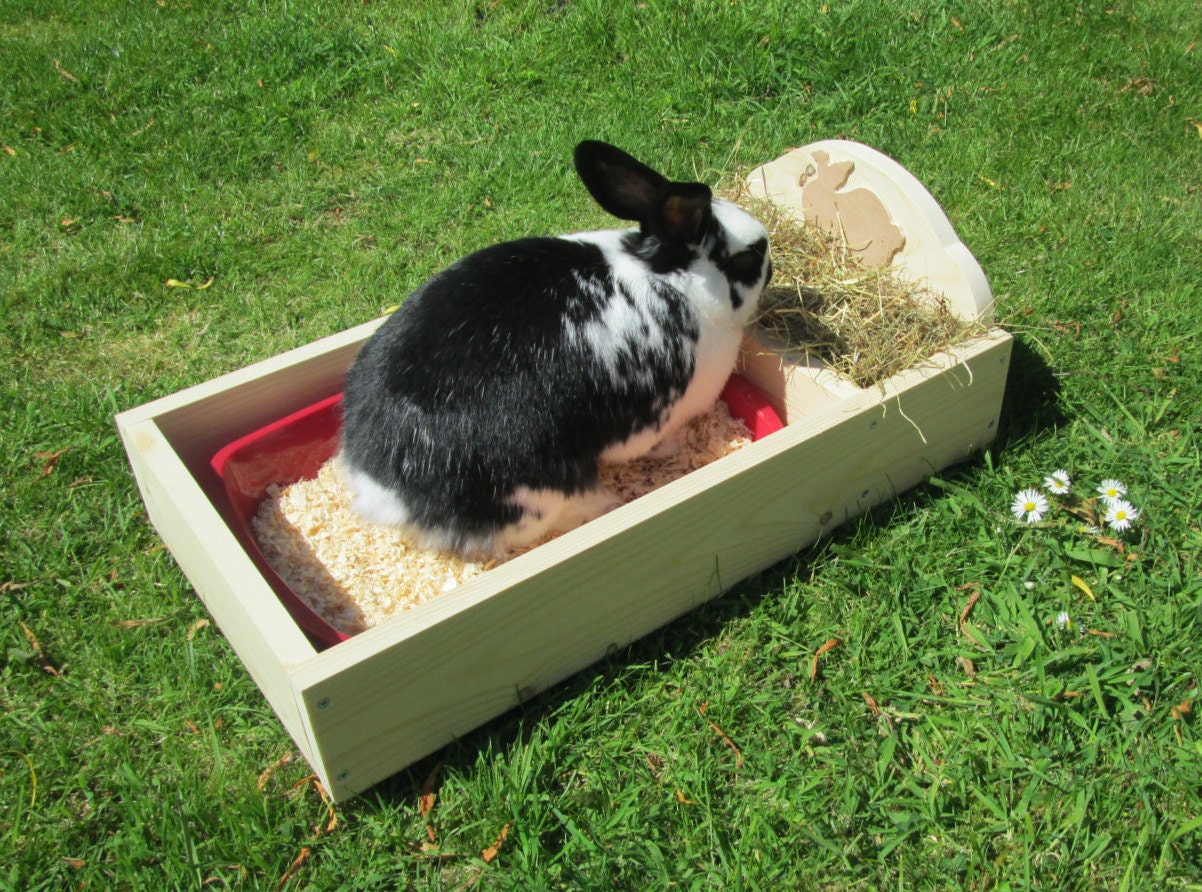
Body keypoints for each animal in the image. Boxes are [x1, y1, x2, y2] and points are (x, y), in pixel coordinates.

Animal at [339, 140, 772, 557]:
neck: (665, 273)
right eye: (746, 259)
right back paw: (604, 503)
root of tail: (386, 491)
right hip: (537, 492)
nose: (770, 268)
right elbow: (651, 444)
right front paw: (674, 448)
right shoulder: (653, 419)